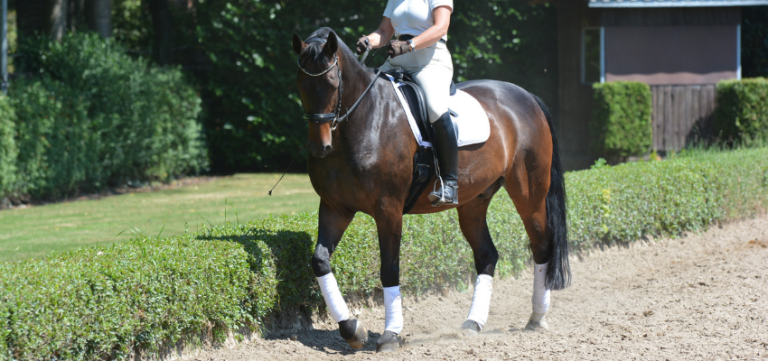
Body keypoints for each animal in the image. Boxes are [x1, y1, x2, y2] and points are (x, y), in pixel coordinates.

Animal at [294, 28, 568, 352]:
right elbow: (319, 260)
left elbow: (390, 268)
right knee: (487, 255)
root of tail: (528, 97)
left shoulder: (388, 210)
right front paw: (352, 329)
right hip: (474, 201)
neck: (364, 121)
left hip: (529, 194)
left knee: (541, 245)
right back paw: (473, 323)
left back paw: (536, 317)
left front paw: (390, 334)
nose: (318, 147)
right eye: (301, 84)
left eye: (333, 84)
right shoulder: (335, 207)